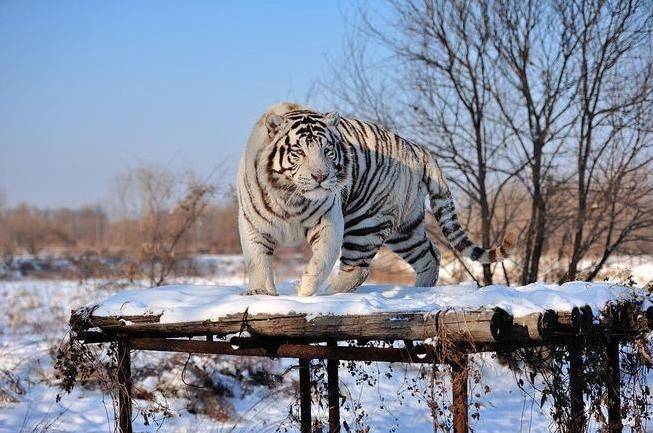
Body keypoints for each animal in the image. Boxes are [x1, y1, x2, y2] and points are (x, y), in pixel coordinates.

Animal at [237, 103, 512, 296]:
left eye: (327, 150)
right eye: (299, 152)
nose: (321, 176)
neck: (290, 197)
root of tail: (418, 149)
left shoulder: (329, 220)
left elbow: (322, 260)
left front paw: (304, 290)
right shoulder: (253, 224)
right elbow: (258, 262)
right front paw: (261, 293)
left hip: (366, 222)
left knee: (358, 269)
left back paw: (330, 293)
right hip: (405, 230)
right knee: (430, 256)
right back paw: (420, 290)